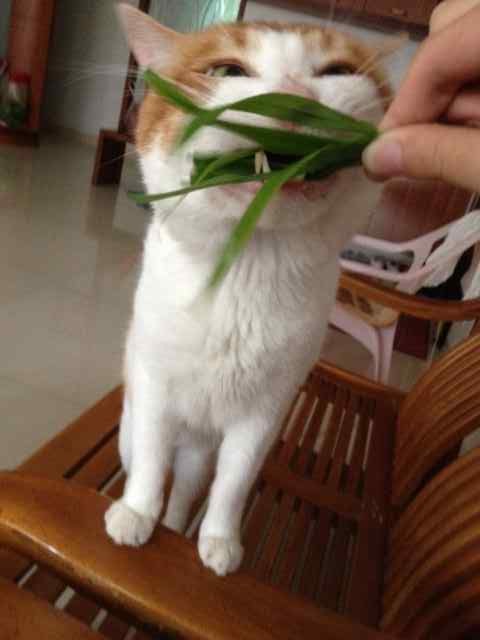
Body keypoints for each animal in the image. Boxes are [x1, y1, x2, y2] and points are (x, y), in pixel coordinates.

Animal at [105, 3, 390, 576]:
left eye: (337, 72)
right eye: (228, 72)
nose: (296, 97)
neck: (243, 265)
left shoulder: (265, 411)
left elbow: (233, 485)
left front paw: (218, 542)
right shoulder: (153, 385)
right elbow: (149, 462)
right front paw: (135, 513)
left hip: (201, 455)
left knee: (186, 490)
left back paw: (177, 526)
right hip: (136, 429)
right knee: (144, 460)